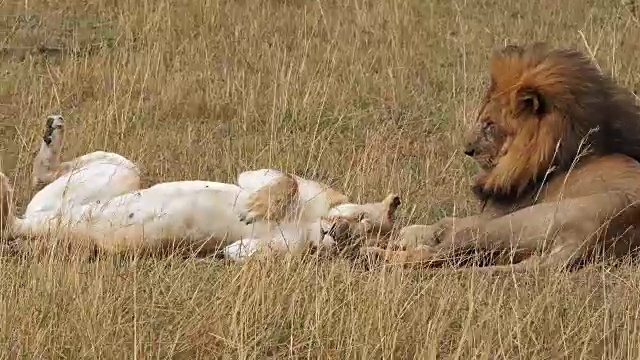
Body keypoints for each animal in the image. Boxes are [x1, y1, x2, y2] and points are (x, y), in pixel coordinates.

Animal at [360, 42, 640, 272]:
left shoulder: (491, 215)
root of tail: (589, 240)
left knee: (439, 254)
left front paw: (412, 233)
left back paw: (372, 253)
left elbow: (444, 223)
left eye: (489, 125)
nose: (467, 150)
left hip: (504, 225)